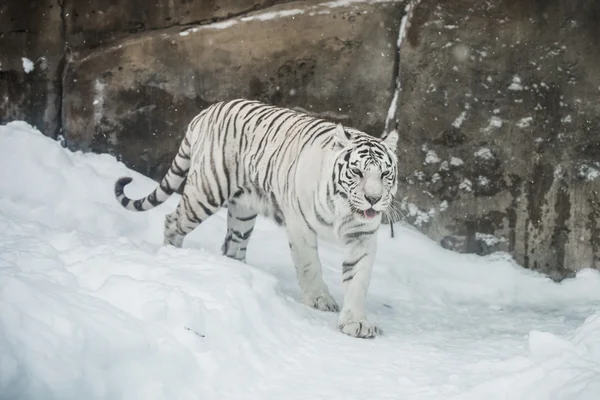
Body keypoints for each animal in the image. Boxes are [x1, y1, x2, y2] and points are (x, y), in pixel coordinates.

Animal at [116, 99, 398, 338]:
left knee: (233, 245)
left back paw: (239, 273)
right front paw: (319, 300)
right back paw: (172, 257)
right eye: (357, 171)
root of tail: (206, 111)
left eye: (385, 174)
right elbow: (310, 266)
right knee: (173, 221)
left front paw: (356, 323)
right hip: (206, 191)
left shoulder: (362, 236)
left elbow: (358, 279)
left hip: (243, 210)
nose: (373, 198)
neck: (343, 209)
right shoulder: (300, 225)